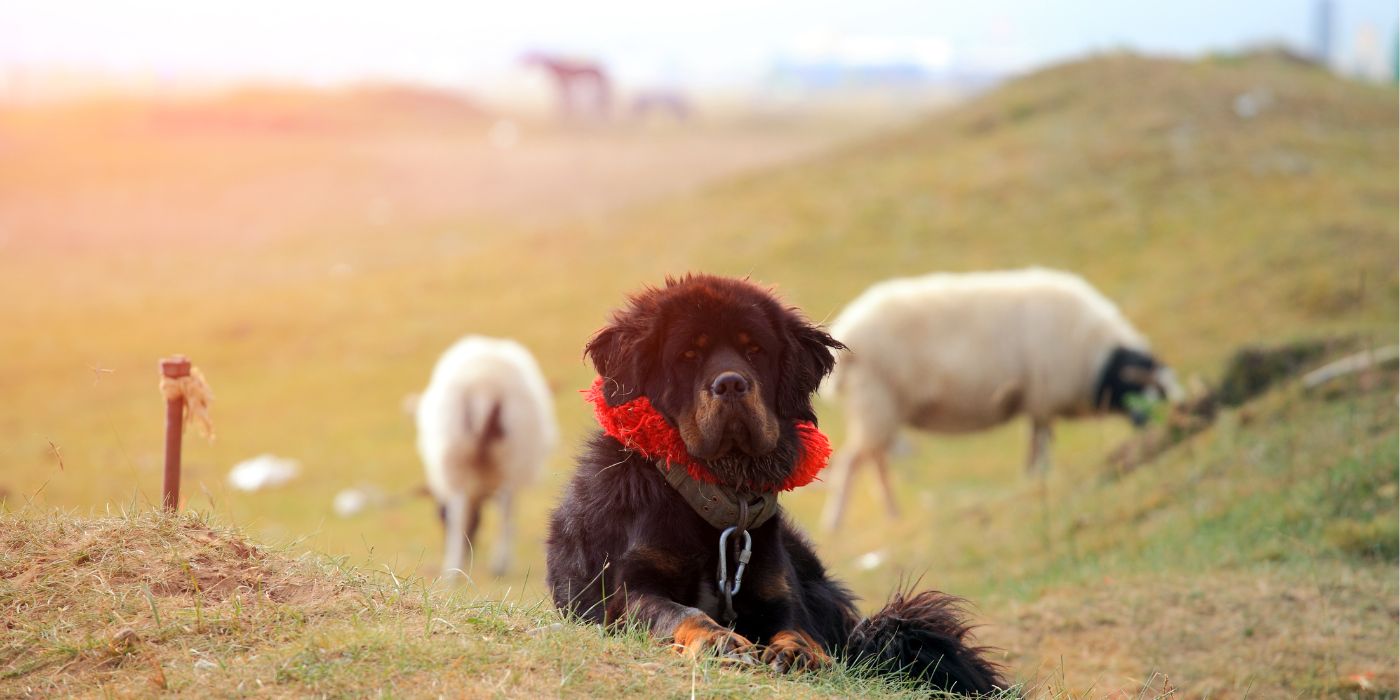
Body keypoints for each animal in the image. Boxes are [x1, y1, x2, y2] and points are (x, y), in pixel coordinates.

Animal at [411, 336, 554, 576]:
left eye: (440, 517)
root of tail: (484, 386)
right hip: (507, 455)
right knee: (504, 506)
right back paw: (497, 564)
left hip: (460, 452)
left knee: (465, 511)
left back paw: (455, 568)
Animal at [546, 274, 1008, 694]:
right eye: (688, 354)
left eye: (755, 350)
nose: (732, 383)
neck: (719, 497)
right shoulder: (629, 590)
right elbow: (679, 612)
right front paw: (718, 641)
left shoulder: (779, 595)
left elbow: (799, 628)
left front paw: (797, 652)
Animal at [817, 267, 1181, 529]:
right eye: (1147, 394)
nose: (1158, 429)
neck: (1096, 359)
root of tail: (849, 329)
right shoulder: (1043, 395)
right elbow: (1042, 443)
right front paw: (1038, 476)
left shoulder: (1037, 402)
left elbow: (1036, 442)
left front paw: (1032, 476)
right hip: (876, 400)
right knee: (854, 461)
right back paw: (837, 521)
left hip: (878, 407)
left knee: (874, 460)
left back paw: (891, 512)